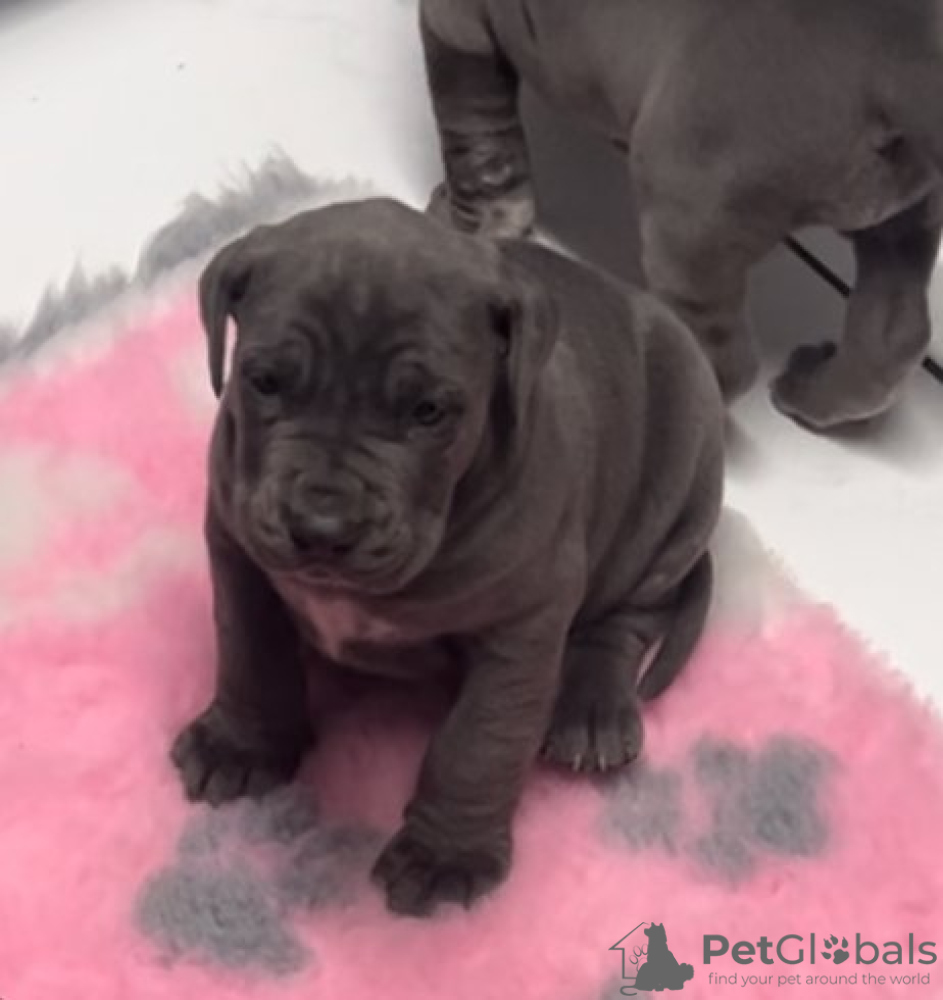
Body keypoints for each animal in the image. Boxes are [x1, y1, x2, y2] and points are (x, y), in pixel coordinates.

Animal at [171, 198, 723, 916]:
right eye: (263, 382)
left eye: (429, 411)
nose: (321, 526)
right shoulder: (238, 550)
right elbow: (250, 656)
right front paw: (239, 744)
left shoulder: (521, 625)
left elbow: (479, 741)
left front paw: (445, 856)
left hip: (683, 463)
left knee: (626, 618)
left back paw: (593, 711)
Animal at [420, 0, 943, 431]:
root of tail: (896, 56)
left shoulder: (458, 24)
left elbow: (478, 146)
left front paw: (455, 228)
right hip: (902, 218)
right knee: (895, 333)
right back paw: (811, 394)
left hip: (687, 200)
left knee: (723, 360)